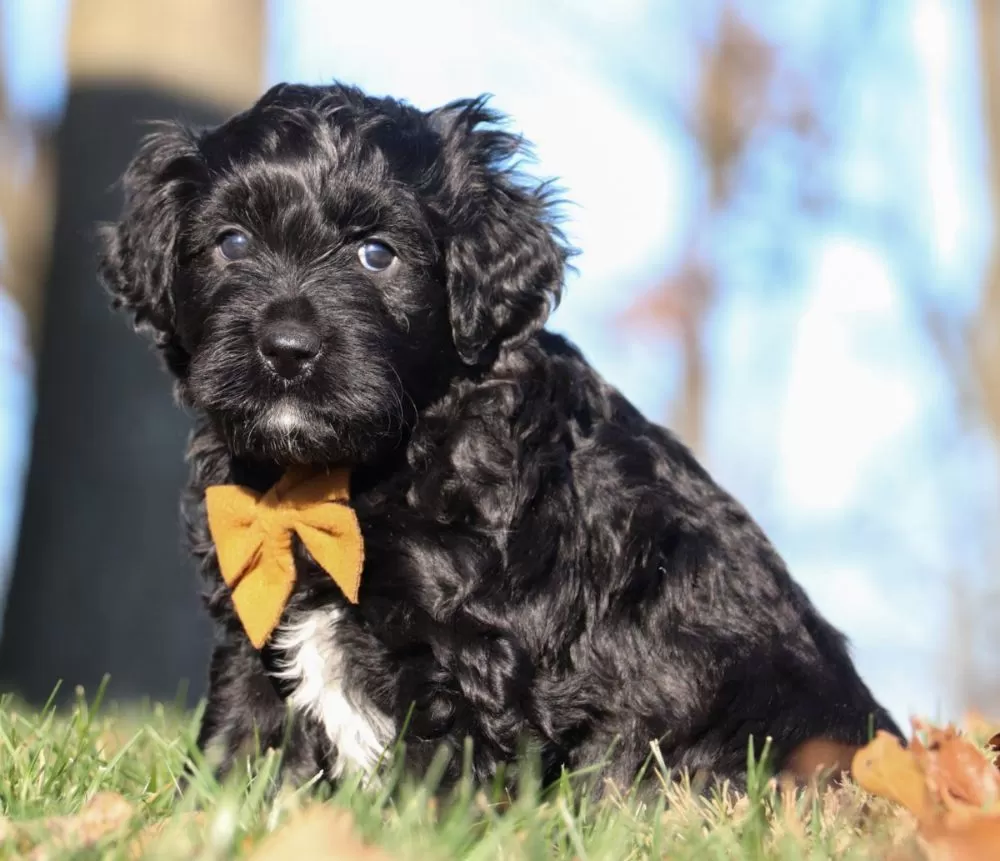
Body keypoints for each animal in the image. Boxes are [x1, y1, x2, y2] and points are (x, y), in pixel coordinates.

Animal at [99, 84, 900, 788]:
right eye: (231, 243)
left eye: (377, 254)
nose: (286, 349)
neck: (348, 475)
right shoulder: (253, 623)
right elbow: (234, 747)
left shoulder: (474, 654)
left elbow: (437, 784)